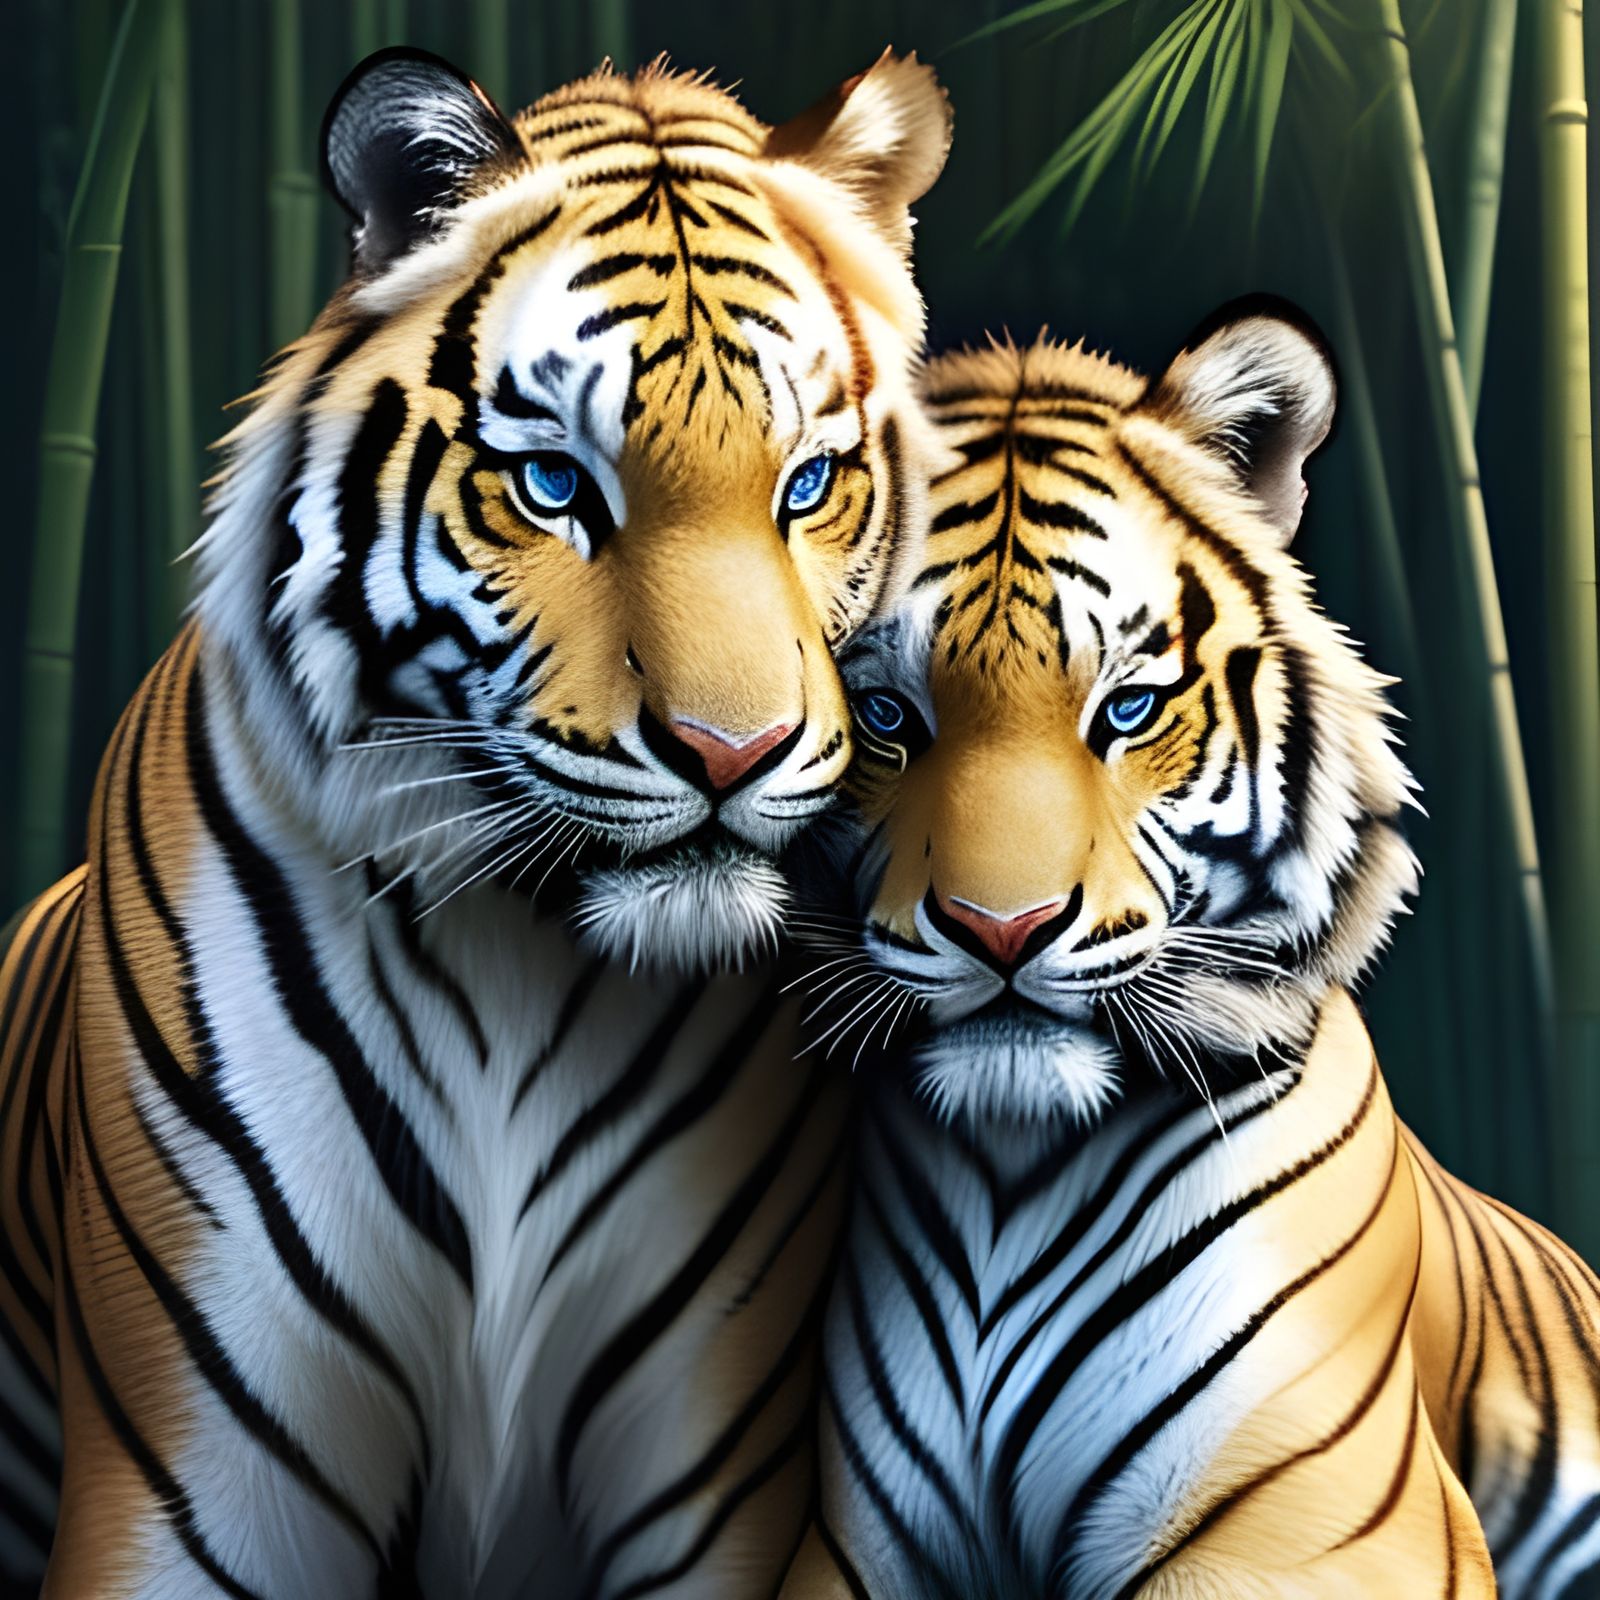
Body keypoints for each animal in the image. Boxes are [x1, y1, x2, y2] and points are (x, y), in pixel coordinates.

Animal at [0, 46, 951, 1599]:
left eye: (807, 484)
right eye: (556, 484)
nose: (732, 752)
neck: (521, 950)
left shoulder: (712, 1463)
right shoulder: (198, 1475)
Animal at [777, 308, 1600, 1599]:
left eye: (1126, 709)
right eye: (884, 715)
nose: (1000, 929)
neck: (1012, 1174)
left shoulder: (1323, 1527)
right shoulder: (854, 1542)